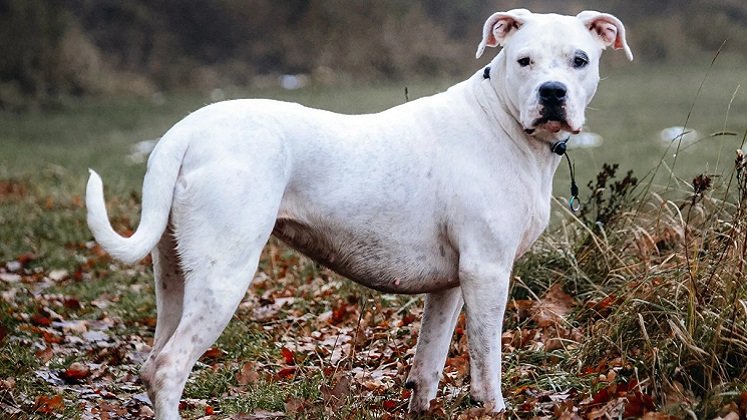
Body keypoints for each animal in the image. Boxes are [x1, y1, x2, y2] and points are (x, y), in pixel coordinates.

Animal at [87, 9, 632, 416]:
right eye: (524, 61)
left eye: (579, 60)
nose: (552, 93)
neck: (502, 119)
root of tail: (187, 130)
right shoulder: (488, 273)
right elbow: (486, 362)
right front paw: (493, 406)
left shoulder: (452, 284)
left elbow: (428, 365)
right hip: (225, 274)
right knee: (169, 368)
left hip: (175, 276)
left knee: (153, 361)